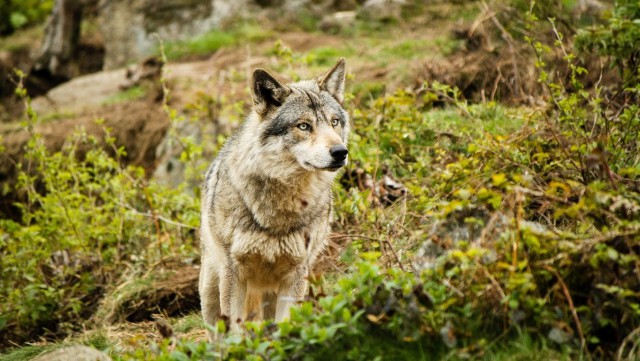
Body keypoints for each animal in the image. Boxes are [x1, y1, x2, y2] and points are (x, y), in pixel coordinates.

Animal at [200, 57, 350, 336]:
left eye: (334, 122)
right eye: (304, 126)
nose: (340, 152)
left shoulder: (296, 274)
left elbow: (285, 326)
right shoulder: (234, 273)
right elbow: (235, 331)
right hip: (210, 290)